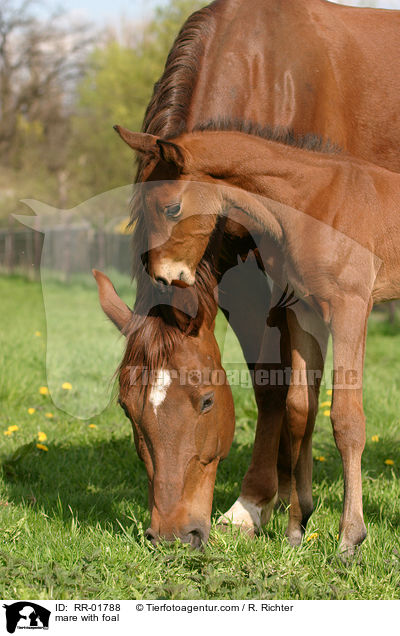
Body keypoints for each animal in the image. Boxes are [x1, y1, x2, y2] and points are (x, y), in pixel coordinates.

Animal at [115, 0, 400, 548]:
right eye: (125, 406)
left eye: (206, 401)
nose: (172, 536)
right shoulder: (286, 295)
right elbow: (293, 400)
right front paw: (287, 515)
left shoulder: (340, 303)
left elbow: (335, 413)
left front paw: (318, 527)